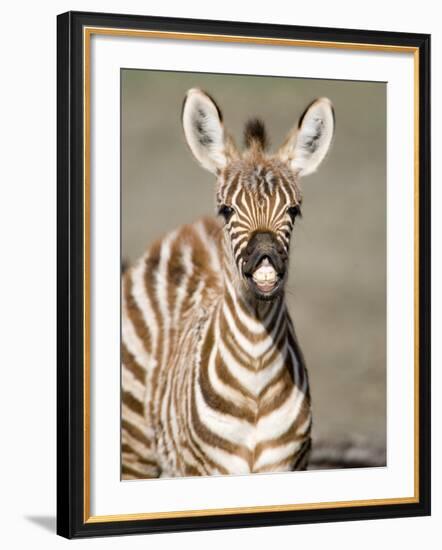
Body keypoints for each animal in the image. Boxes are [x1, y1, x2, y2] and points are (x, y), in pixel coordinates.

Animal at [121, 89, 334, 478]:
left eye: (294, 211)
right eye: (227, 210)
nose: (265, 258)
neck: (256, 374)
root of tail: (189, 229)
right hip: (135, 448)